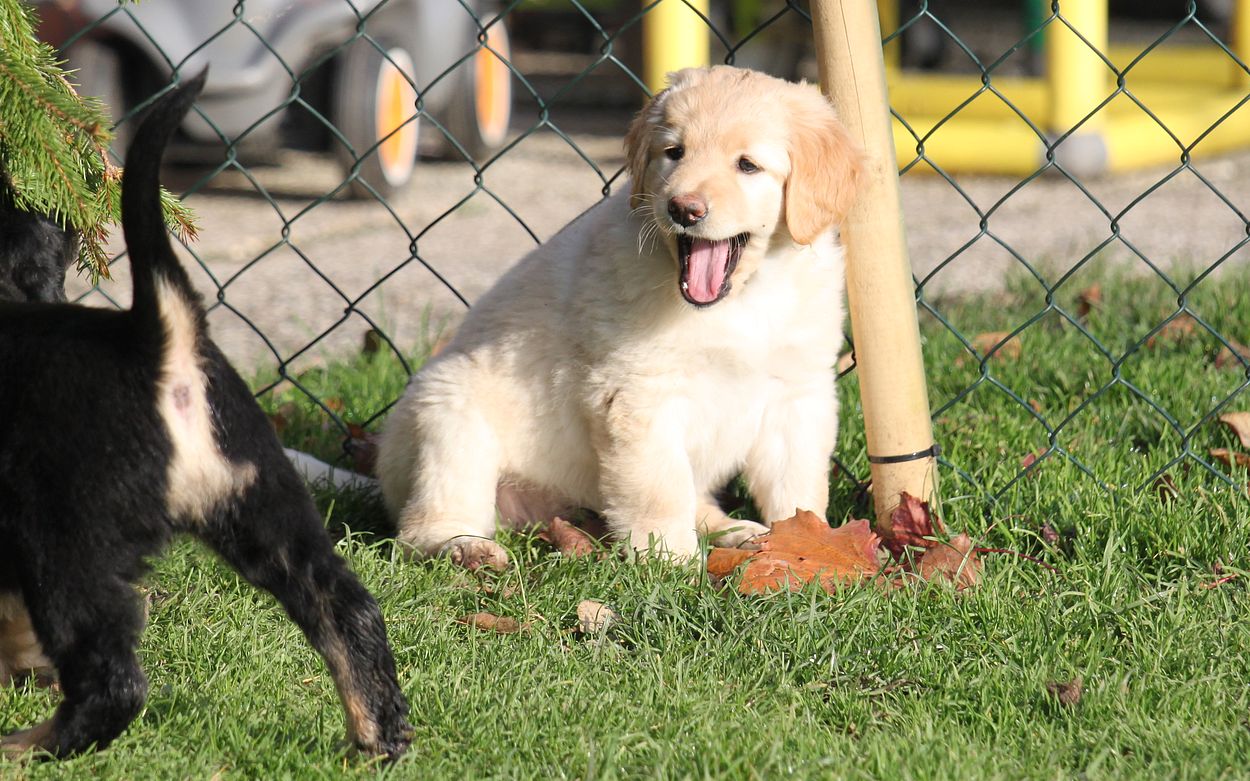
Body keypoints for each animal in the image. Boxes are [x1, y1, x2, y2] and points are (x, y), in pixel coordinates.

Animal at [0, 74, 411, 760]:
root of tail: (159, 337)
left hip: (64, 544)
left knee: (113, 682)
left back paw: (28, 746)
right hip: (264, 504)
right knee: (346, 609)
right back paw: (379, 740)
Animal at [376, 66, 862, 569]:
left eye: (747, 165)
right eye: (674, 152)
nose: (683, 209)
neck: (744, 299)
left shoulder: (798, 393)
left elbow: (798, 487)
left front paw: (809, 543)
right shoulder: (639, 396)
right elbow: (659, 488)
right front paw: (670, 563)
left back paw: (735, 532)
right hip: (448, 419)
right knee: (422, 525)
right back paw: (463, 548)